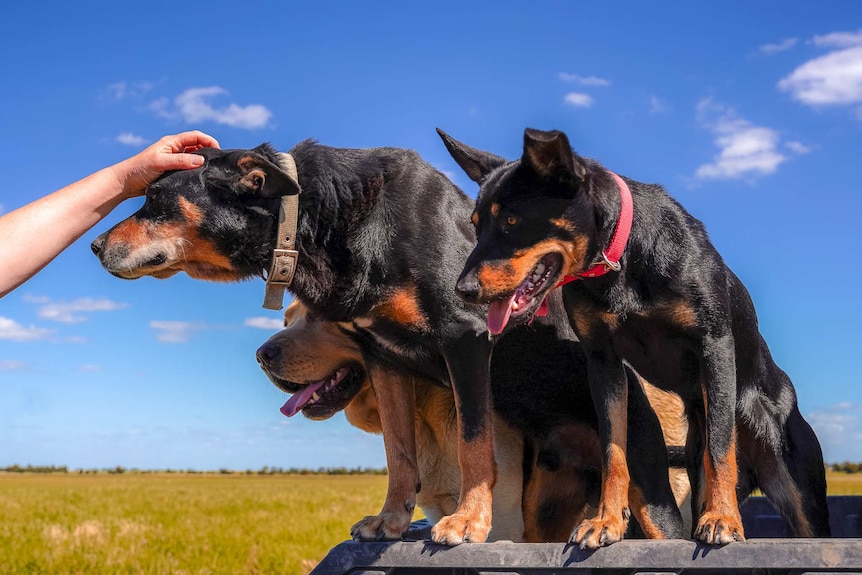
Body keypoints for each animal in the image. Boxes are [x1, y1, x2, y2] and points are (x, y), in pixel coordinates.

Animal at [442, 128, 832, 548]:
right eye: (476, 225)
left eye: (512, 220)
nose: (462, 290)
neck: (621, 260)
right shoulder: (603, 361)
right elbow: (614, 451)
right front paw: (606, 521)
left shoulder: (714, 345)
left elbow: (720, 443)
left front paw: (724, 518)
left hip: (800, 487)